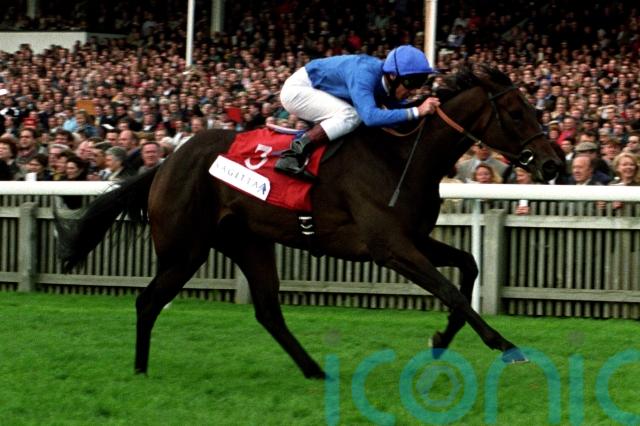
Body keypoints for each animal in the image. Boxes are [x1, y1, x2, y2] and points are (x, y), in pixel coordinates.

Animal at [55, 65, 563, 378]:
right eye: (516, 112)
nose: (554, 163)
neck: (403, 156)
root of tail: (165, 162)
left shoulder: (413, 238)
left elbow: (468, 268)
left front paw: (441, 338)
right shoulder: (390, 247)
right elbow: (451, 289)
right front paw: (504, 344)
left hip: (248, 243)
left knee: (267, 310)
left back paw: (315, 369)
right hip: (186, 248)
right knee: (148, 301)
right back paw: (140, 369)